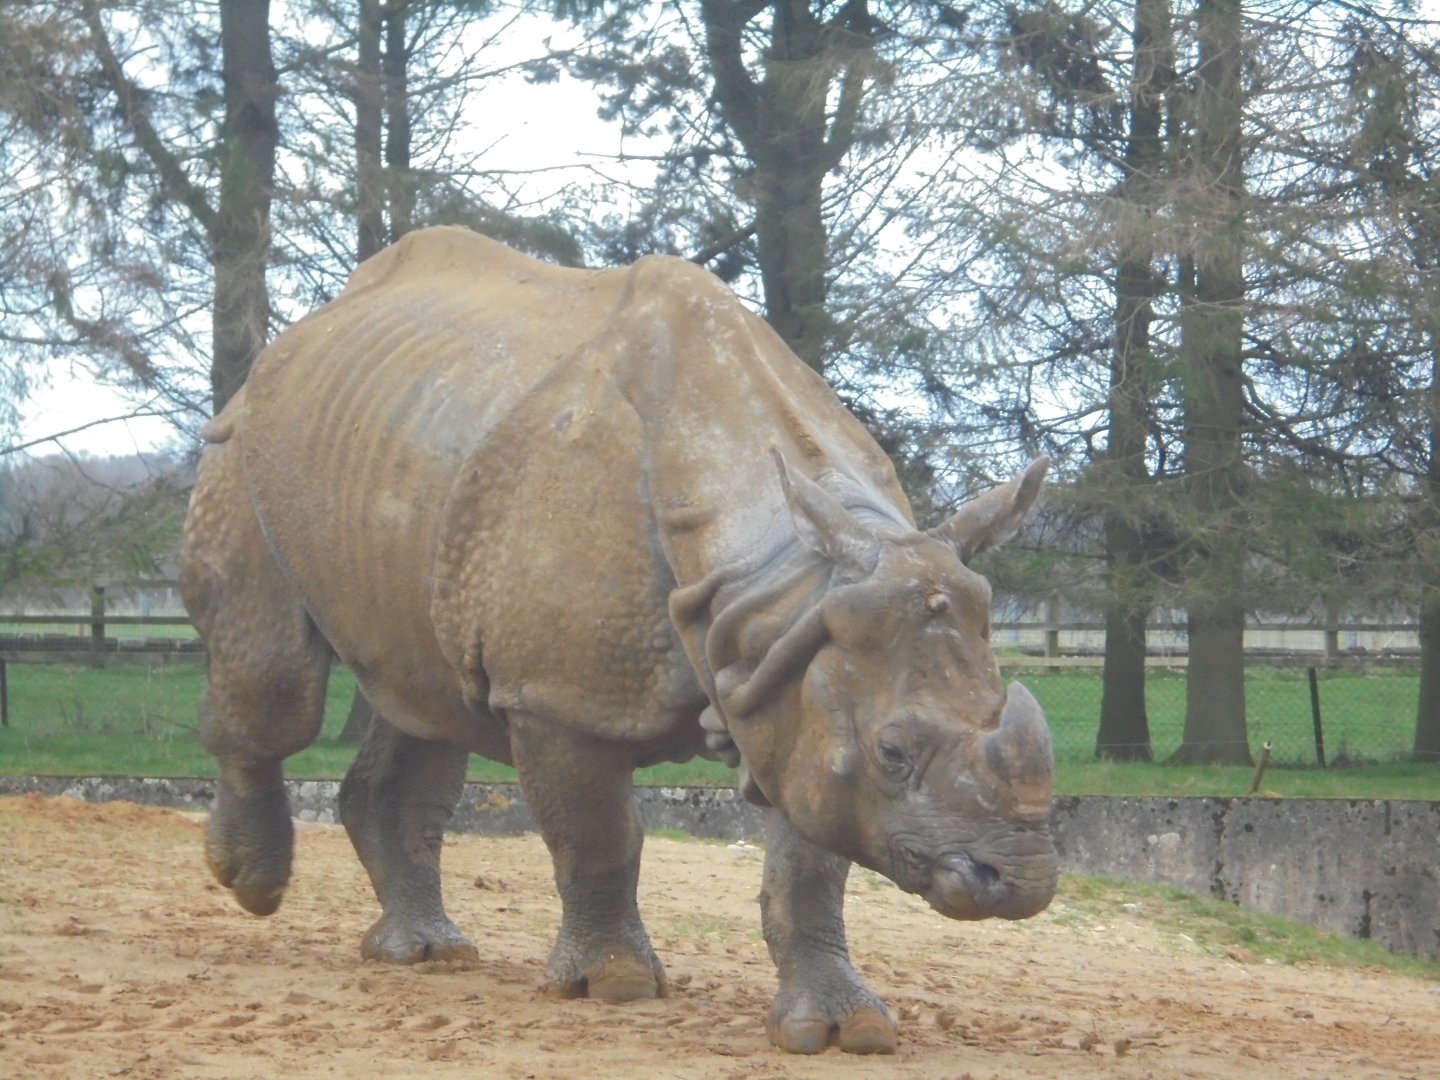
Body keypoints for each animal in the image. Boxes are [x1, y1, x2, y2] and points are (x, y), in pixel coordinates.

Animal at [180, 226, 1056, 1055]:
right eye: (893, 754)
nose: (1022, 881)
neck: (778, 574)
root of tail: (306, 331)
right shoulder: (558, 697)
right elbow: (598, 836)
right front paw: (614, 987)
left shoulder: (797, 668)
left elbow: (810, 865)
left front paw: (846, 1031)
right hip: (245, 444)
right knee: (280, 683)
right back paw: (250, 883)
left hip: (405, 450)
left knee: (424, 701)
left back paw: (427, 955)